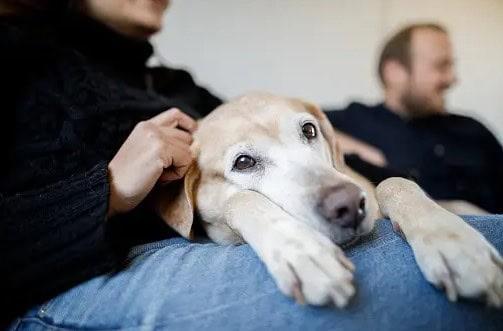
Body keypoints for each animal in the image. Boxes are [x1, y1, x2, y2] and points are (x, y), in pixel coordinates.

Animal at [154, 92, 503, 308]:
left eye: (309, 130)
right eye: (243, 163)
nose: (348, 206)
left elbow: (393, 183)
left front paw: (455, 245)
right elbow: (240, 200)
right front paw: (302, 252)